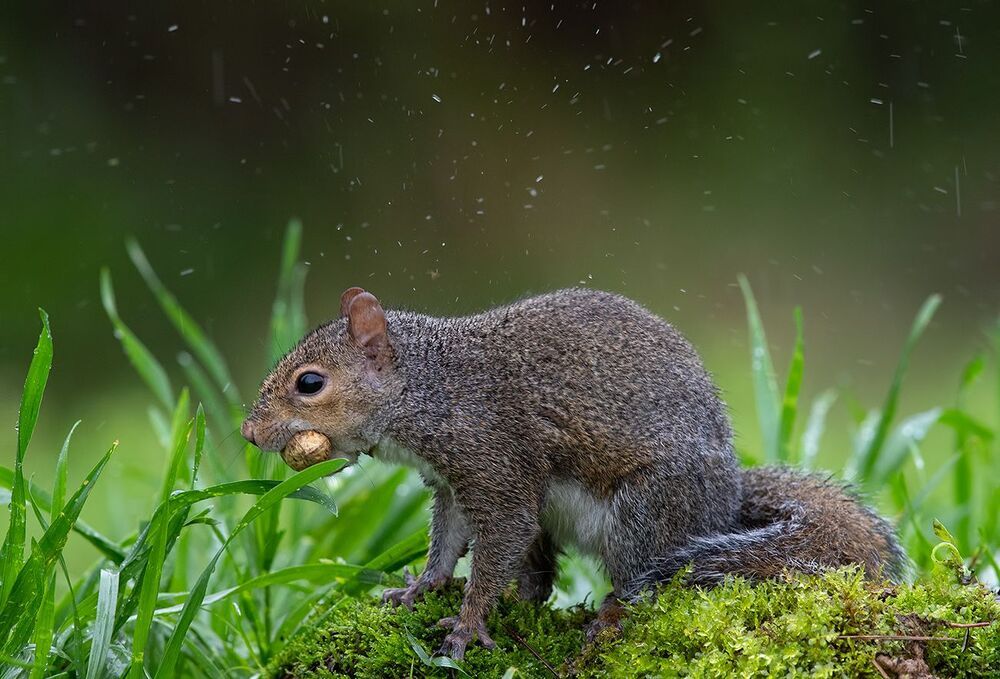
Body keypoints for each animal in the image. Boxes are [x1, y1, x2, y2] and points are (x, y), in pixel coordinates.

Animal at [241, 286, 907, 659]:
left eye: (309, 383)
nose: (249, 433)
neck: (433, 388)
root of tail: (725, 505)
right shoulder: (453, 485)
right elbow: (448, 541)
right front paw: (421, 589)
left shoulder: (494, 463)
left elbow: (496, 539)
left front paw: (467, 626)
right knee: (541, 579)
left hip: (644, 511)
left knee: (644, 584)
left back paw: (609, 615)